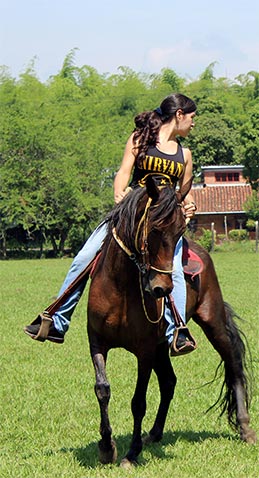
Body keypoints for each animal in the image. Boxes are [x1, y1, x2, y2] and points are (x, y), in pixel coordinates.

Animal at [87, 175, 258, 466]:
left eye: (180, 232)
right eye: (154, 230)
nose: (162, 288)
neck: (120, 287)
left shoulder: (144, 351)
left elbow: (138, 402)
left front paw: (131, 453)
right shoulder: (98, 342)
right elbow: (102, 390)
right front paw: (107, 446)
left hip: (212, 321)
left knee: (233, 363)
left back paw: (246, 429)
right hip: (161, 346)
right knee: (169, 382)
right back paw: (154, 434)